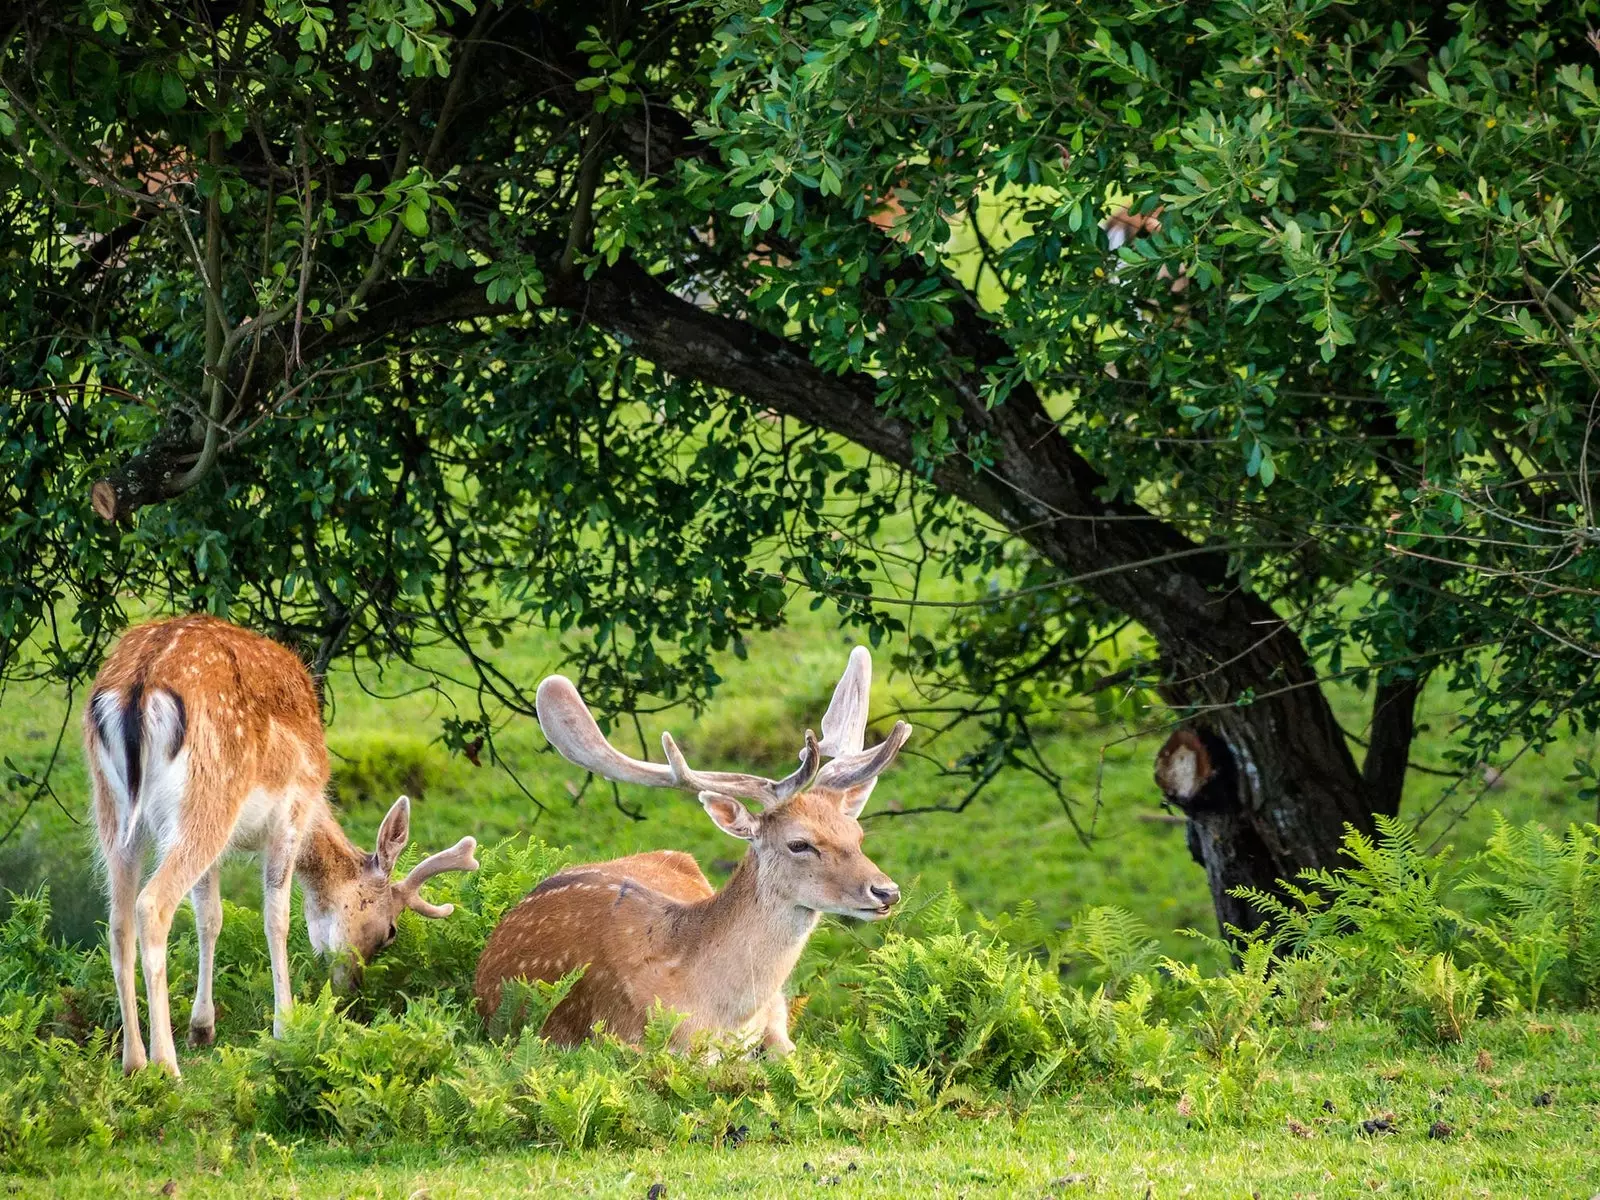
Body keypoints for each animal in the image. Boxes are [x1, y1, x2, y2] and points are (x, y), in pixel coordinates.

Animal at [85, 614, 476, 1075]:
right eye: (390, 932)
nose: (353, 989)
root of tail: (139, 686)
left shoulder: (219, 848)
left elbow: (209, 917)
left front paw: (203, 1027)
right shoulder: (292, 811)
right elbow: (278, 918)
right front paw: (285, 1025)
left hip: (114, 809)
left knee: (118, 918)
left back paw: (134, 1061)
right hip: (209, 798)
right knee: (152, 905)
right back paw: (166, 1065)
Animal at [470, 652, 915, 1056]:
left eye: (857, 834)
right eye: (799, 843)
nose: (886, 891)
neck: (721, 1017)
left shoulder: (777, 1018)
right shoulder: (628, 1042)